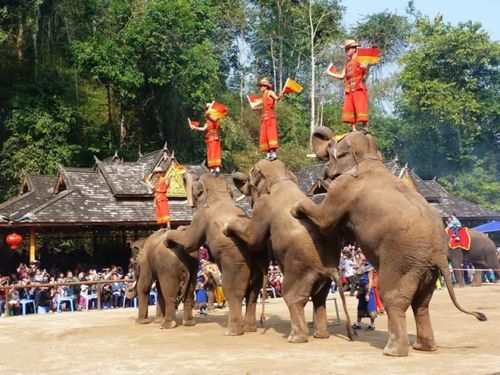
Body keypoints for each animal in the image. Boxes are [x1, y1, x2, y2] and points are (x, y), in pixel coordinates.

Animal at [165, 175, 266, 336]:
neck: (219, 194)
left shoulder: (201, 215)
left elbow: (190, 242)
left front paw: (169, 239)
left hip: (234, 260)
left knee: (232, 290)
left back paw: (232, 332)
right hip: (258, 263)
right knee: (253, 292)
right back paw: (250, 329)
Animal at [221, 160, 354, 346]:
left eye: (251, 177)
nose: (235, 177)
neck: (281, 178)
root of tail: (329, 270)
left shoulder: (263, 205)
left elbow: (253, 238)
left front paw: (226, 228)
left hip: (299, 269)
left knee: (293, 297)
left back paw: (295, 338)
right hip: (324, 276)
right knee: (320, 298)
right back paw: (321, 335)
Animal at [292, 128, 486, 356]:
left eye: (332, 146)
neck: (370, 158)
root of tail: (438, 251)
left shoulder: (342, 188)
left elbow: (325, 221)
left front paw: (295, 209)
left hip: (402, 261)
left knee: (393, 297)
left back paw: (393, 351)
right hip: (426, 269)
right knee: (422, 303)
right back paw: (424, 347)